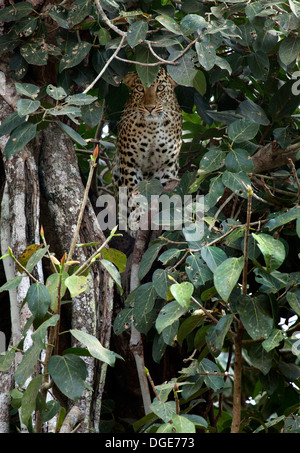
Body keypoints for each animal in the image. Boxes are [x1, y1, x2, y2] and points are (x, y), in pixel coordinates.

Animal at [112, 68, 183, 237]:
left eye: (160, 88)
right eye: (139, 89)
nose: (150, 108)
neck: (153, 128)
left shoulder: (167, 166)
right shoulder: (130, 163)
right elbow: (134, 194)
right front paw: (137, 220)